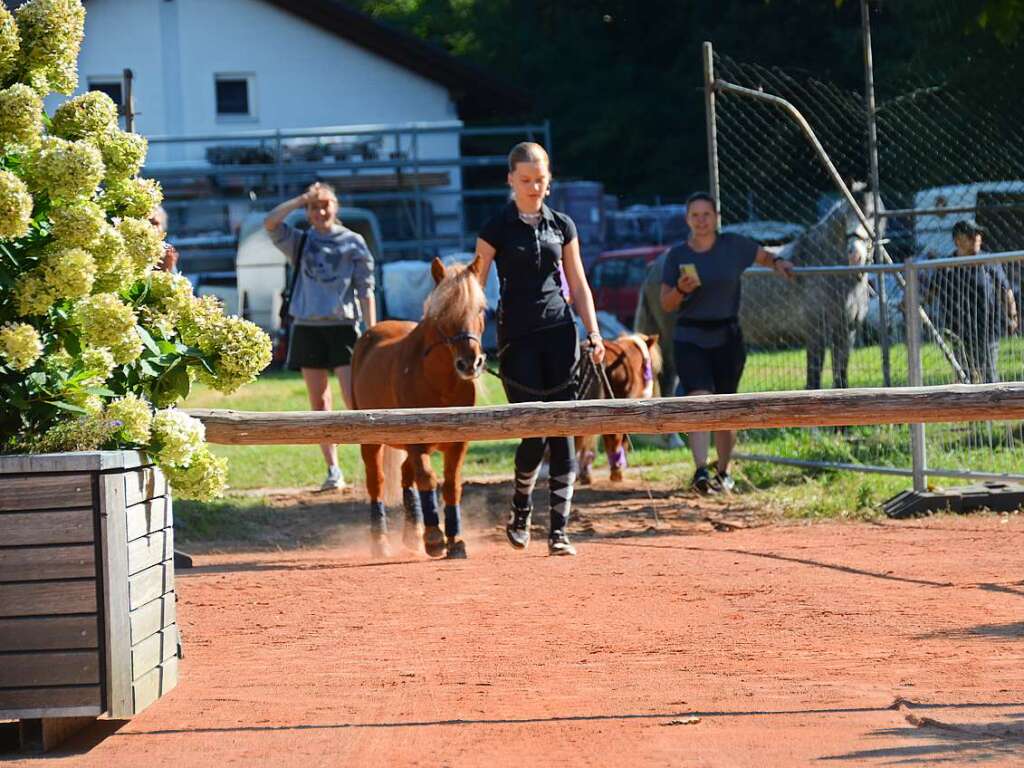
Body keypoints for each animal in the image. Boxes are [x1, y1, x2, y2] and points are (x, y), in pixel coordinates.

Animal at [352, 259, 487, 561]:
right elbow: (427, 478)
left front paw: (455, 540)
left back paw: (412, 534)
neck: (440, 383)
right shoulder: (416, 441)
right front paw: (435, 537)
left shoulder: (458, 443)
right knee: (376, 482)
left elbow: (451, 485)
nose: (469, 363)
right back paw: (381, 542)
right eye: (443, 313)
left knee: (405, 474)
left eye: (481, 309)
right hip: (371, 440)